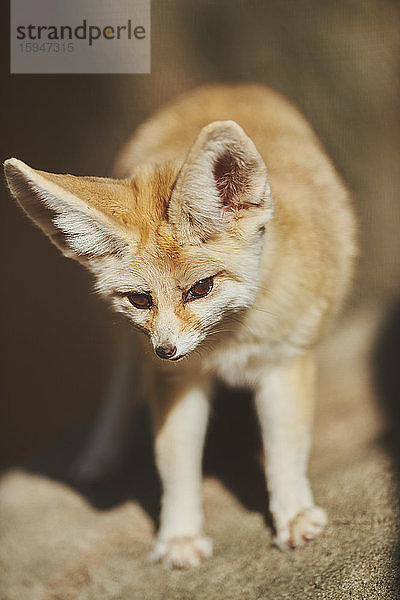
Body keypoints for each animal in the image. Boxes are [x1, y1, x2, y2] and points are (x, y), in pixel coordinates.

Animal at [3, 83, 356, 568]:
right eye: (140, 299)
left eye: (200, 289)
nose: (165, 350)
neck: (226, 345)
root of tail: (223, 87)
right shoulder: (176, 378)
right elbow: (175, 463)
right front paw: (180, 536)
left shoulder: (284, 362)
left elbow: (285, 449)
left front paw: (294, 515)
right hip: (127, 347)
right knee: (120, 383)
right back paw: (101, 453)